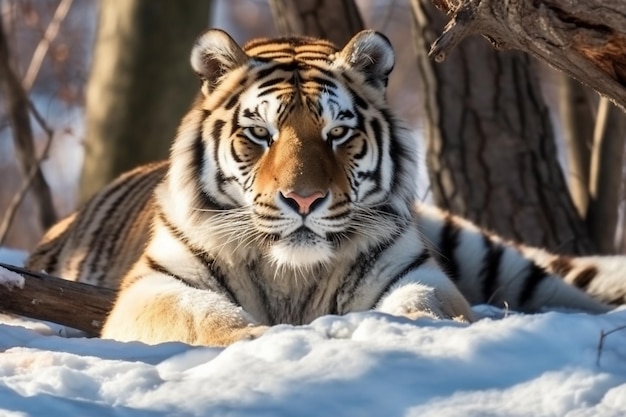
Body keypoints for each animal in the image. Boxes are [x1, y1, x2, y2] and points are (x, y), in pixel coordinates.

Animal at [23, 29, 620, 346]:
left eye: (338, 133)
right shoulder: (153, 286)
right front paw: (254, 342)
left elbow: (425, 305)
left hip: (484, 252)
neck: (290, 273)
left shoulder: (413, 270)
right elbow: (200, 315)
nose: (304, 200)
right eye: (259, 134)